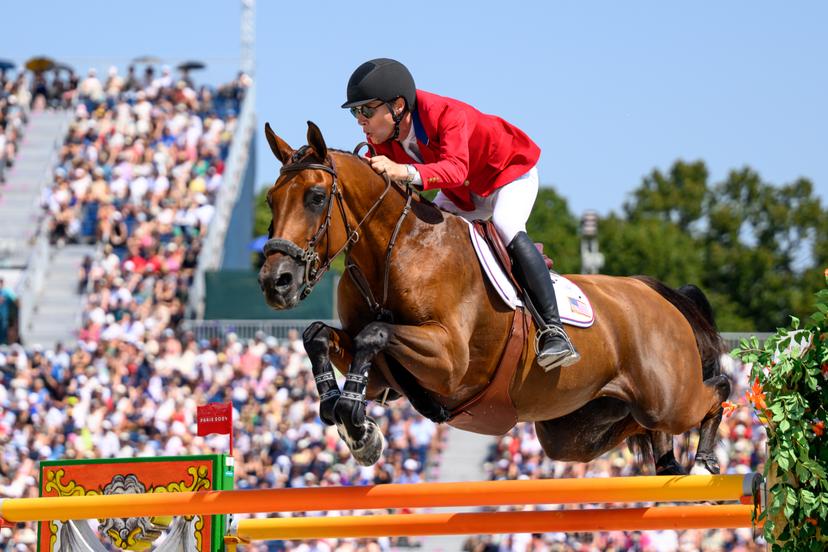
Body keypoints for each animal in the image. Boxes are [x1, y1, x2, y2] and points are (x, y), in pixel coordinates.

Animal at [258, 121, 731, 475]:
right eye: (270, 200)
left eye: (316, 197)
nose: (275, 282)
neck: (395, 251)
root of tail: (654, 292)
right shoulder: (383, 377)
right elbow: (318, 335)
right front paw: (344, 415)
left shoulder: (450, 360)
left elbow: (374, 333)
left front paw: (356, 422)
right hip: (574, 430)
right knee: (639, 428)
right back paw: (669, 461)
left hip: (667, 397)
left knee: (713, 393)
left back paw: (705, 456)